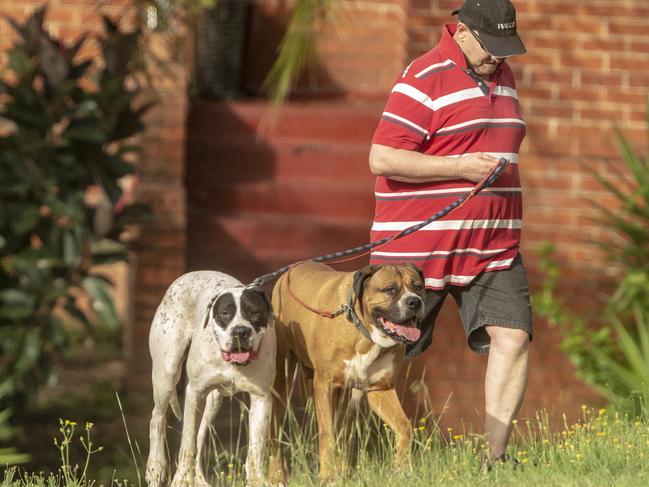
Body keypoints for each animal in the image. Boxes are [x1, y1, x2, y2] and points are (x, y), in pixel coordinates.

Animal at [268, 264, 426, 480]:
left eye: (418, 287)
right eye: (390, 289)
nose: (415, 301)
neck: (365, 333)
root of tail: (289, 271)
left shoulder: (380, 389)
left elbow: (404, 426)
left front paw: (401, 469)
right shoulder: (324, 385)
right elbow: (326, 434)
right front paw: (327, 476)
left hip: (342, 395)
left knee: (342, 430)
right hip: (281, 383)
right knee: (275, 430)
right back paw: (276, 476)